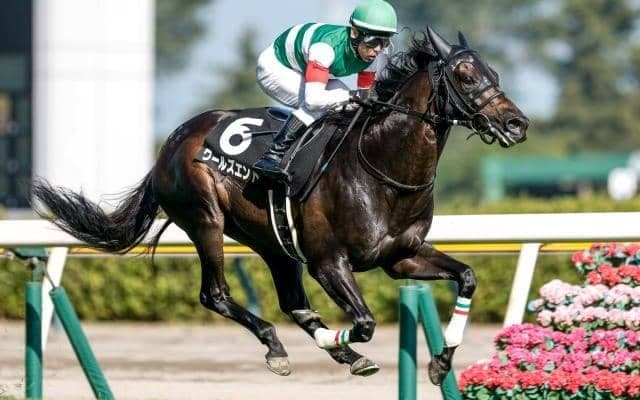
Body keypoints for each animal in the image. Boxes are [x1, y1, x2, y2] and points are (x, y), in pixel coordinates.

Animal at [32, 27, 528, 384]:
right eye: (465, 75)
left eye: (494, 73)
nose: (517, 124)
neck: (384, 169)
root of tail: (171, 143)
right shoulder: (328, 261)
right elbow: (365, 321)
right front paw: (339, 341)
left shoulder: (401, 256)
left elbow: (467, 277)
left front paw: (441, 363)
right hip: (205, 220)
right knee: (216, 295)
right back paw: (286, 346)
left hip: (272, 240)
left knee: (291, 301)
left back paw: (325, 349)